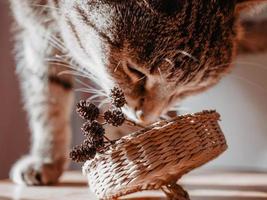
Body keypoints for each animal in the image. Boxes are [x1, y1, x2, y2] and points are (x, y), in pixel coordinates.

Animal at [8, 0, 267, 186]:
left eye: (187, 89)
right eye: (135, 71)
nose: (144, 116)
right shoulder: (36, 29)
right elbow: (47, 99)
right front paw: (45, 158)